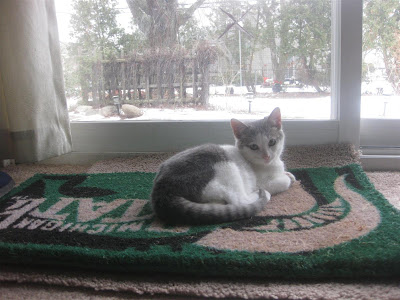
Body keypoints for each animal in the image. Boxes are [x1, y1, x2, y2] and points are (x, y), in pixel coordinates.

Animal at [152, 108, 296, 225]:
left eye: (272, 142)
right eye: (254, 146)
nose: (267, 156)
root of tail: (161, 190)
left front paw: (289, 174)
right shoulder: (262, 182)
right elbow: (283, 182)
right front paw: (286, 179)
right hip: (225, 167)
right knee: (239, 200)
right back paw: (263, 195)